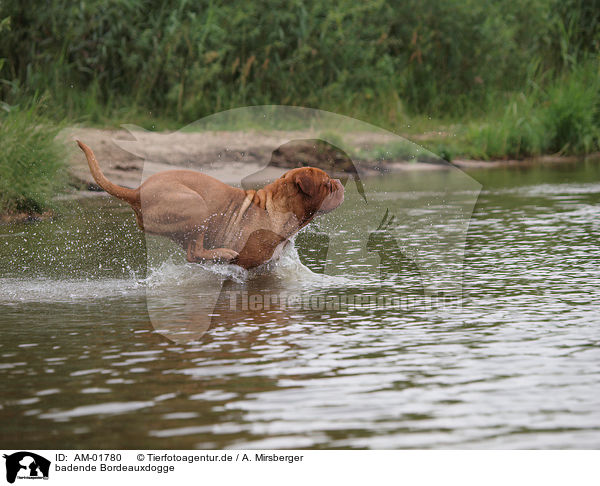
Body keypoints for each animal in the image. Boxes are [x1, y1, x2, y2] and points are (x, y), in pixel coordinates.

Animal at [77, 140, 344, 270]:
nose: (339, 182)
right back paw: (223, 253)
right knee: (195, 252)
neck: (274, 208)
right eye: (327, 184)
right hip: (196, 205)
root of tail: (136, 192)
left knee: (192, 252)